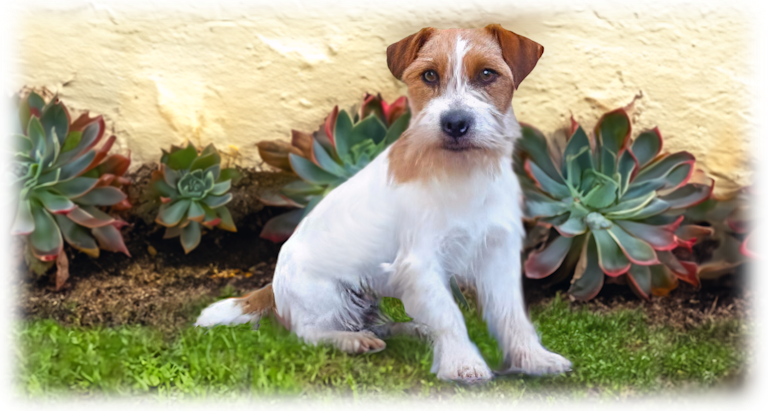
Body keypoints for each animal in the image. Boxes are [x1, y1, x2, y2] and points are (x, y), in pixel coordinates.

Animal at [196, 24, 568, 384]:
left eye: (488, 74)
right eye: (429, 75)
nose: (455, 124)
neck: (464, 172)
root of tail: (272, 287)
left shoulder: (497, 254)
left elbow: (512, 315)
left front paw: (534, 359)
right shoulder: (421, 263)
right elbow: (449, 315)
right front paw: (463, 364)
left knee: (379, 323)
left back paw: (411, 329)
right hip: (329, 295)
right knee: (308, 332)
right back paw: (351, 340)